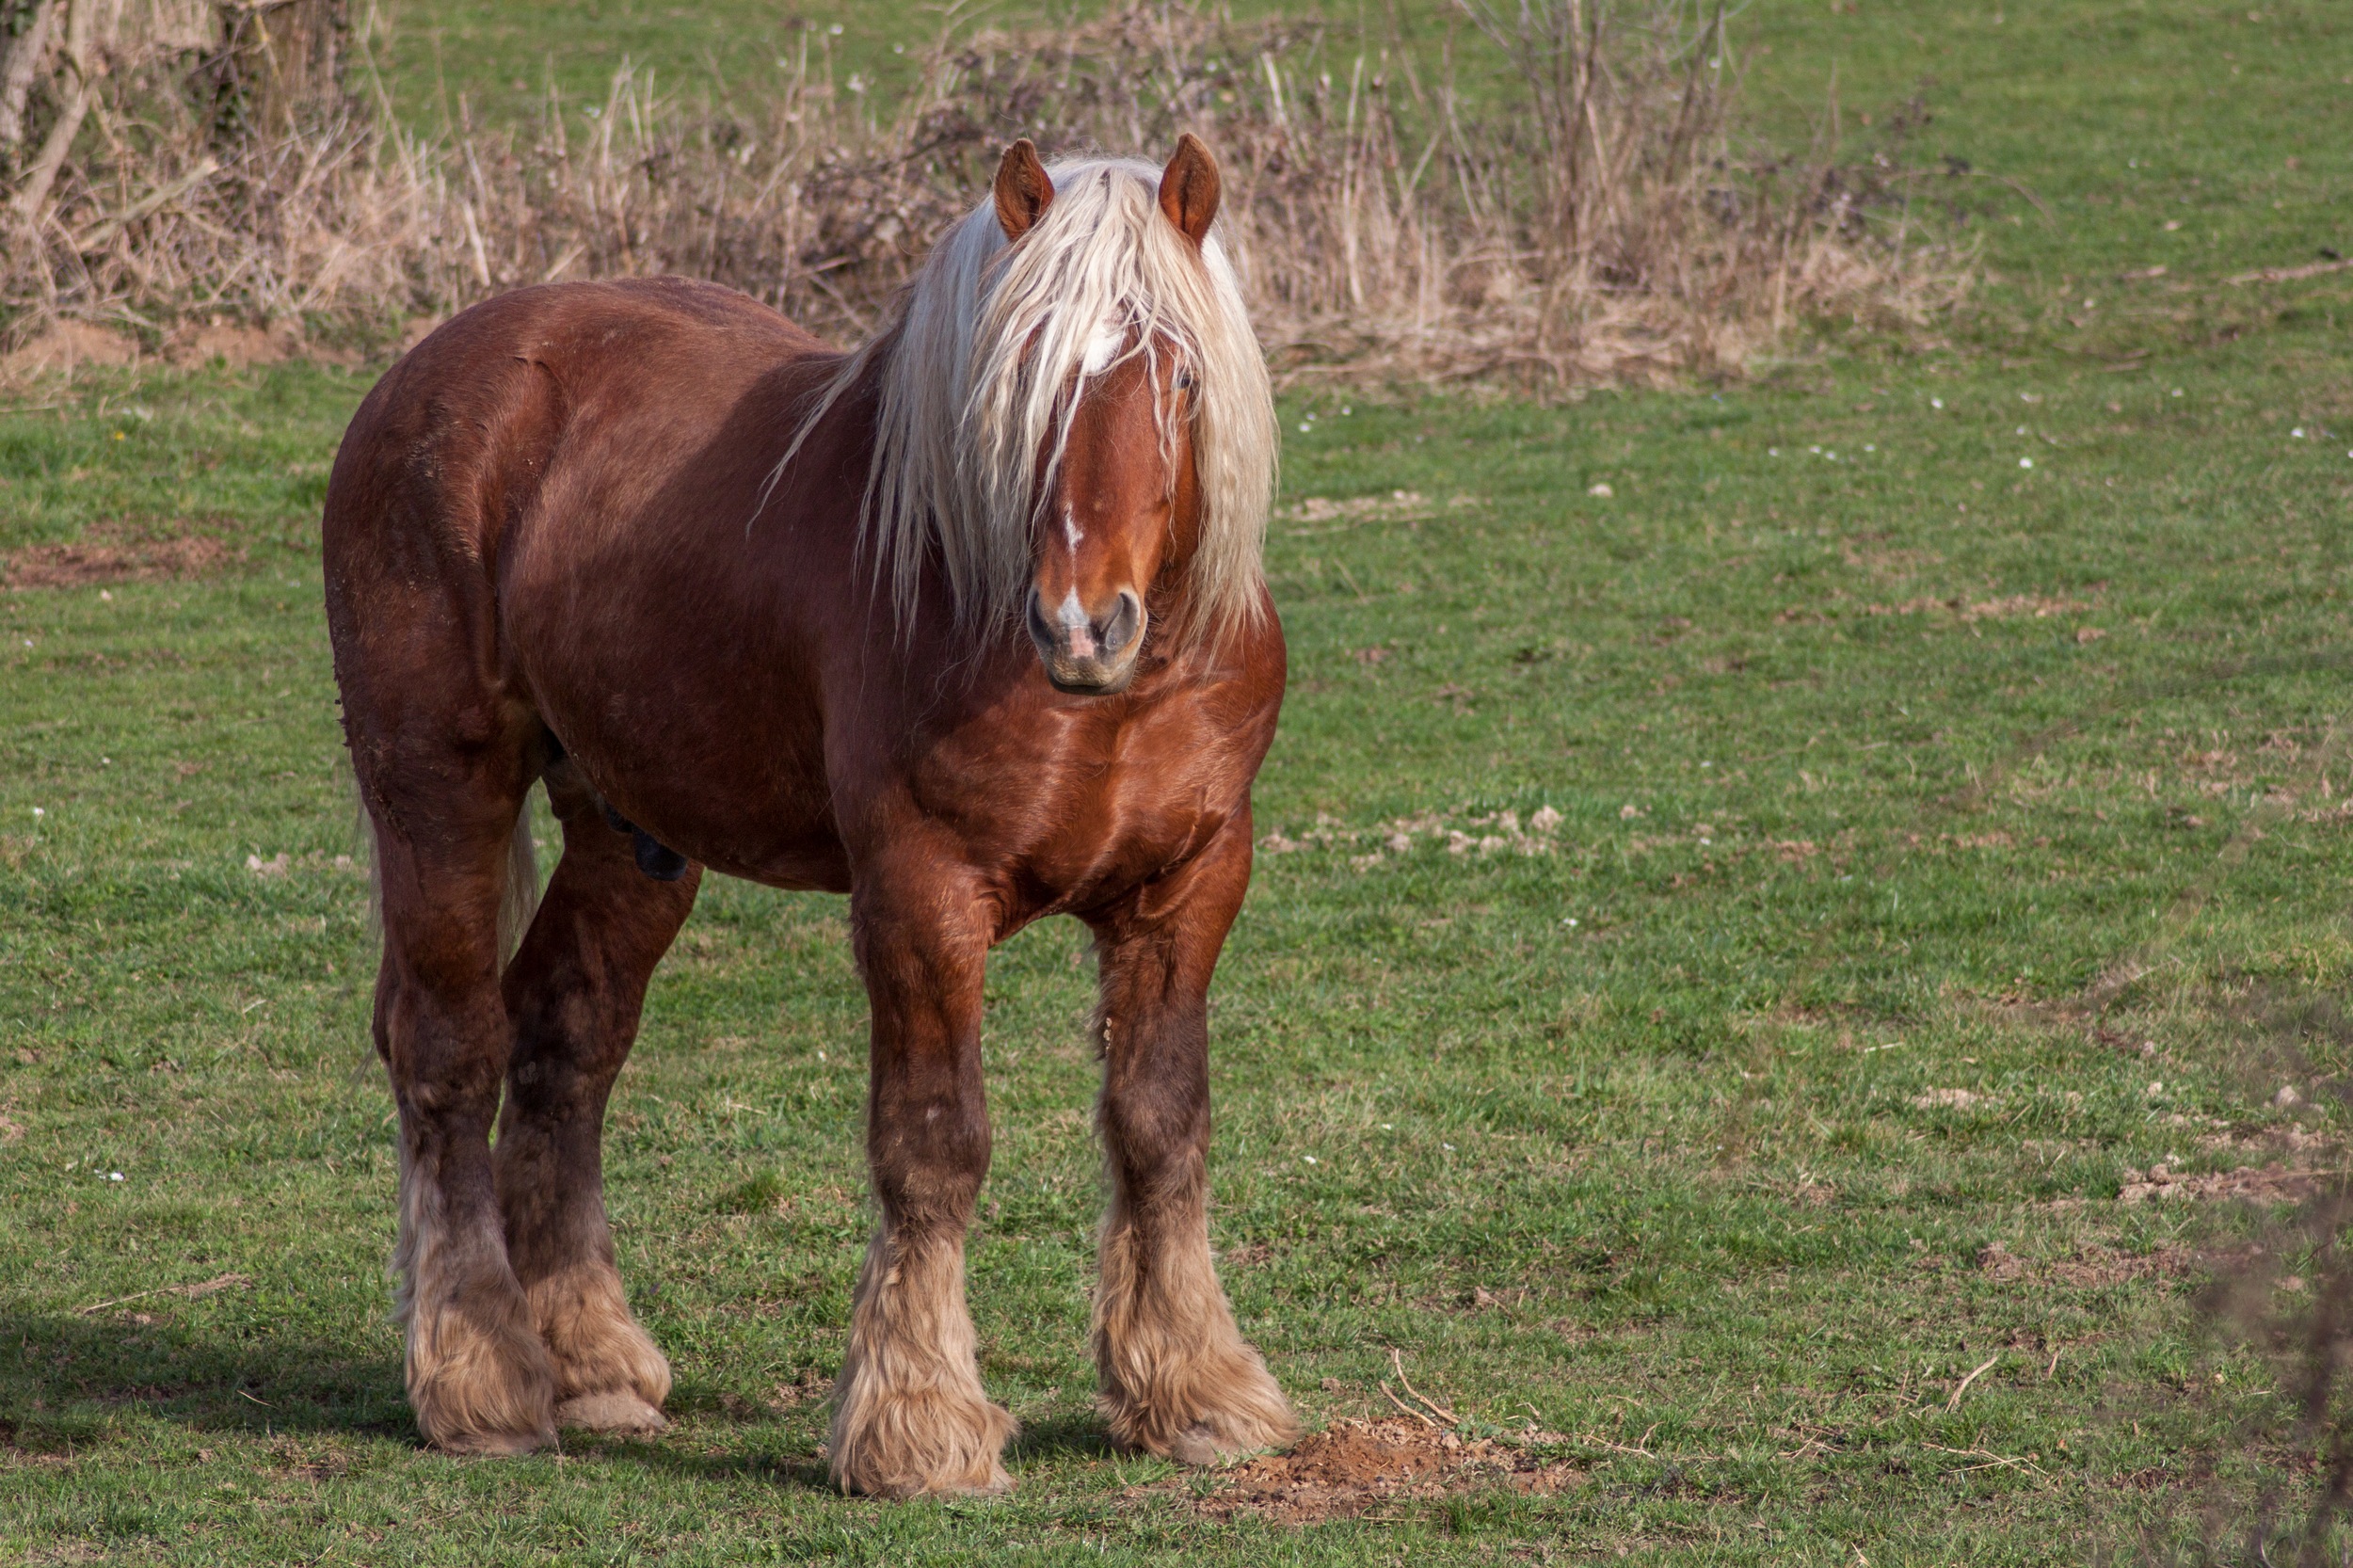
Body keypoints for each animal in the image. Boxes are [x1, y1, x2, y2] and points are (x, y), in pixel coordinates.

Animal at [322, 136, 1299, 1487]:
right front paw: (919, 1420)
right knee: (448, 1052)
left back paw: (591, 1363)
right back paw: (479, 1375)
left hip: (630, 831)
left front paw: (1195, 1388)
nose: (1083, 621)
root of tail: (426, 371)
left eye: (1181, 374)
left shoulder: (1189, 889)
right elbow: (934, 1145)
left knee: (564, 1042)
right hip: (438, 790)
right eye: (1017, 380)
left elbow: (1160, 1127)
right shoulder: (921, 898)